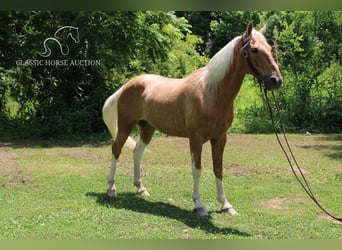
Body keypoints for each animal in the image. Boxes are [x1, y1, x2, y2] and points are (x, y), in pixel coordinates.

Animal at [102, 21, 284, 216]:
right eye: (255, 49)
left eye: (270, 48)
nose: (276, 80)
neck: (211, 92)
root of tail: (127, 85)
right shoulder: (196, 139)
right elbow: (197, 170)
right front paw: (199, 205)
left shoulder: (220, 139)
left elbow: (218, 169)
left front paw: (226, 205)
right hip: (126, 125)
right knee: (116, 149)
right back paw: (111, 188)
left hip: (147, 128)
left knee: (137, 151)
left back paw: (141, 188)